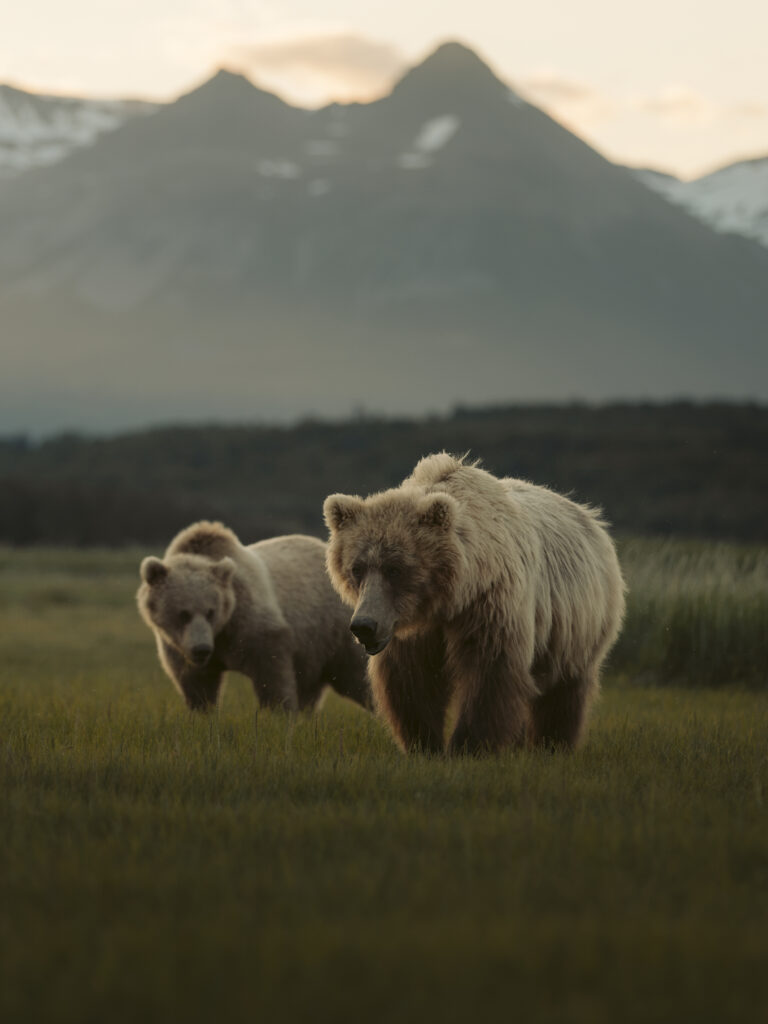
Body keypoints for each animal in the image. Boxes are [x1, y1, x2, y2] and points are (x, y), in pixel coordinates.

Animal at [137, 521, 370, 713]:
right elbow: (197, 684)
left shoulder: (252, 627)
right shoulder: (178, 646)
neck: (221, 632)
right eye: (183, 613)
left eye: (210, 611)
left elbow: (272, 676)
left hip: (335, 633)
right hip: (313, 650)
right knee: (309, 690)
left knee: (358, 676)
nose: (202, 649)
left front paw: (277, 713)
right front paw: (202, 712)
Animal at [323, 453, 625, 755]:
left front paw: (468, 746)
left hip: (576, 626)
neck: (449, 600)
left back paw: (552, 744)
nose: (364, 626)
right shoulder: (413, 632)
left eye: (395, 569)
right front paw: (425, 744)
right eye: (357, 568)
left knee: (564, 691)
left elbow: (489, 675)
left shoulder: (490, 606)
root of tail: (591, 517)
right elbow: (412, 683)